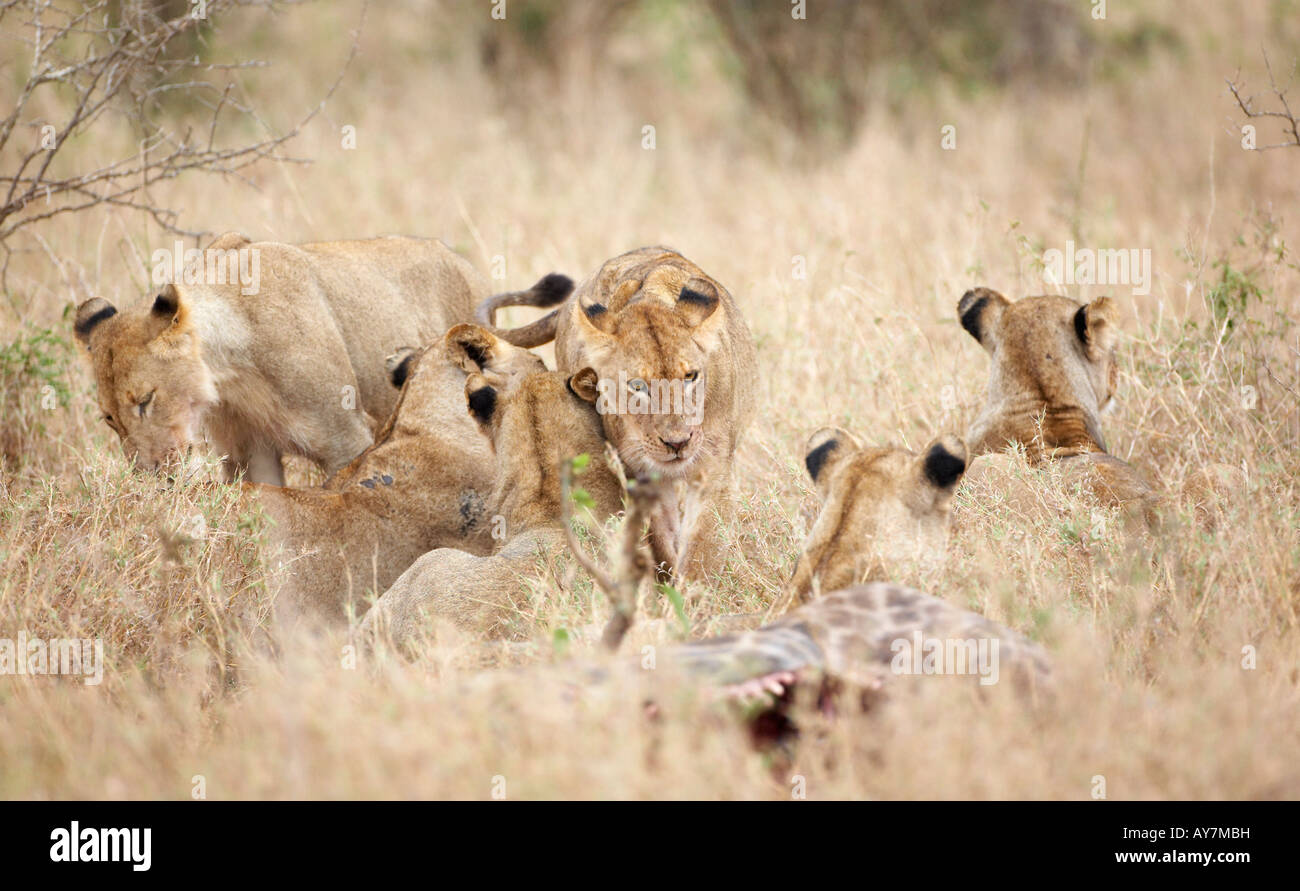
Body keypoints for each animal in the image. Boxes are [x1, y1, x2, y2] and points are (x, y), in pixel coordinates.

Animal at [73, 230, 571, 484]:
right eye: (109, 419)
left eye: (146, 400)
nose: (151, 476)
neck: (230, 372)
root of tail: (465, 265)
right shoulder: (246, 458)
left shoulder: (346, 440)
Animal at [476, 246, 757, 581]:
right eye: (637, 386)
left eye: (690, 376)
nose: (678, 443)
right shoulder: (640, 474)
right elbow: (662, 540)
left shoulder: (711, 467)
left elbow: (704, 548)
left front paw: (695, 593)